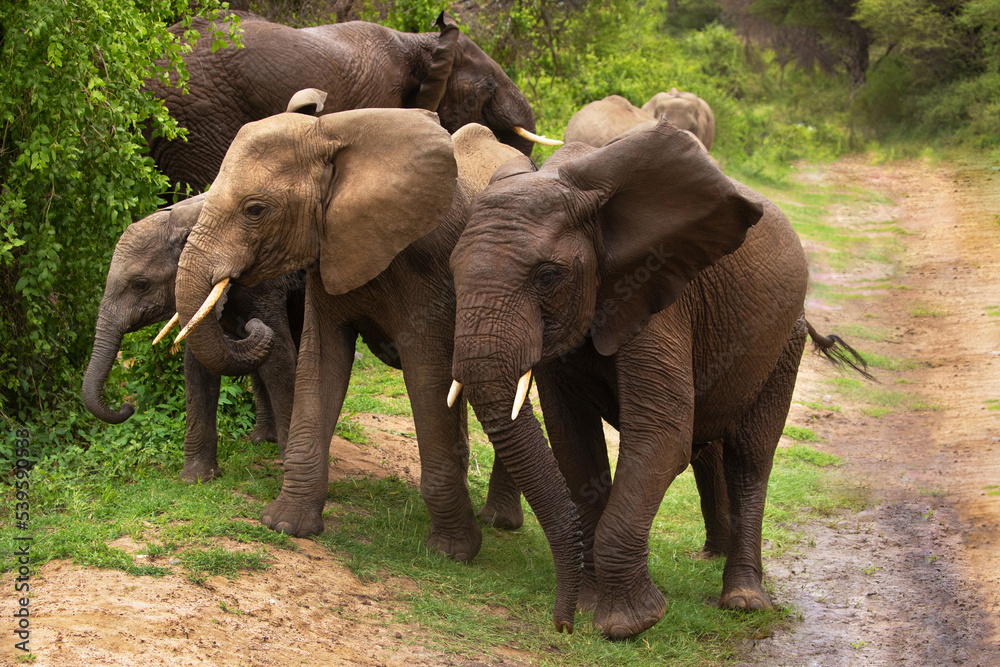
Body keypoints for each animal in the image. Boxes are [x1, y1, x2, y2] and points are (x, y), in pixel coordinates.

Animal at [81, 193, 304, 482]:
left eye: (140, 284)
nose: (126, 408)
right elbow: (198, 365)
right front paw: (197, 478)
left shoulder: (265, 286)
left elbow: (280, 359)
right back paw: (262, 439)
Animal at [171, 109, 529, 562]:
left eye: (254, 209)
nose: (248, 324)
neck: (330, 133)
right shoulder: (329, 252)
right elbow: (320, 363)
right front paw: (286, 525)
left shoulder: (427, 270)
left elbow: (426, 376)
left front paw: (452, 552)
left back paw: (498, 521)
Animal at [448, 117, 815, 637]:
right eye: (452, 272)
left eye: (547, 277)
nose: (561, 625)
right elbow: (572, 440)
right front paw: (591, 606)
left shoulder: (659, 299)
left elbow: (661, 435)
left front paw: (628, 625)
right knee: (709, 445)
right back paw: (712, 555)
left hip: (785, 340)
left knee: (750, 456)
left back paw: (743, 601)